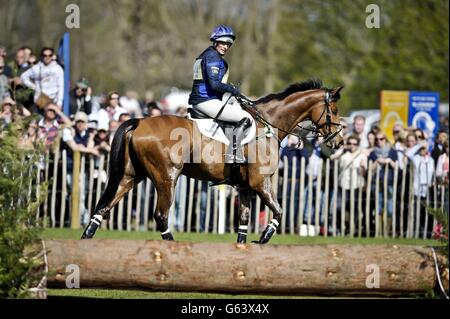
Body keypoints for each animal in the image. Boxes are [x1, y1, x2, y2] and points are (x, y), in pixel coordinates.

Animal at [81, 79, 342, 244]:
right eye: (335, 110)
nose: (338, 141)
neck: (268, 123)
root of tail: (140, 121)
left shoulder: (244, 187)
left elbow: (243, 221)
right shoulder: (261, 183)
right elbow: (278, 212)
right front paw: (264, 237)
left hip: (130, 176)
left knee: (103, 209)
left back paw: (85, 241)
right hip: (167, 178)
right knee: (161, 216)